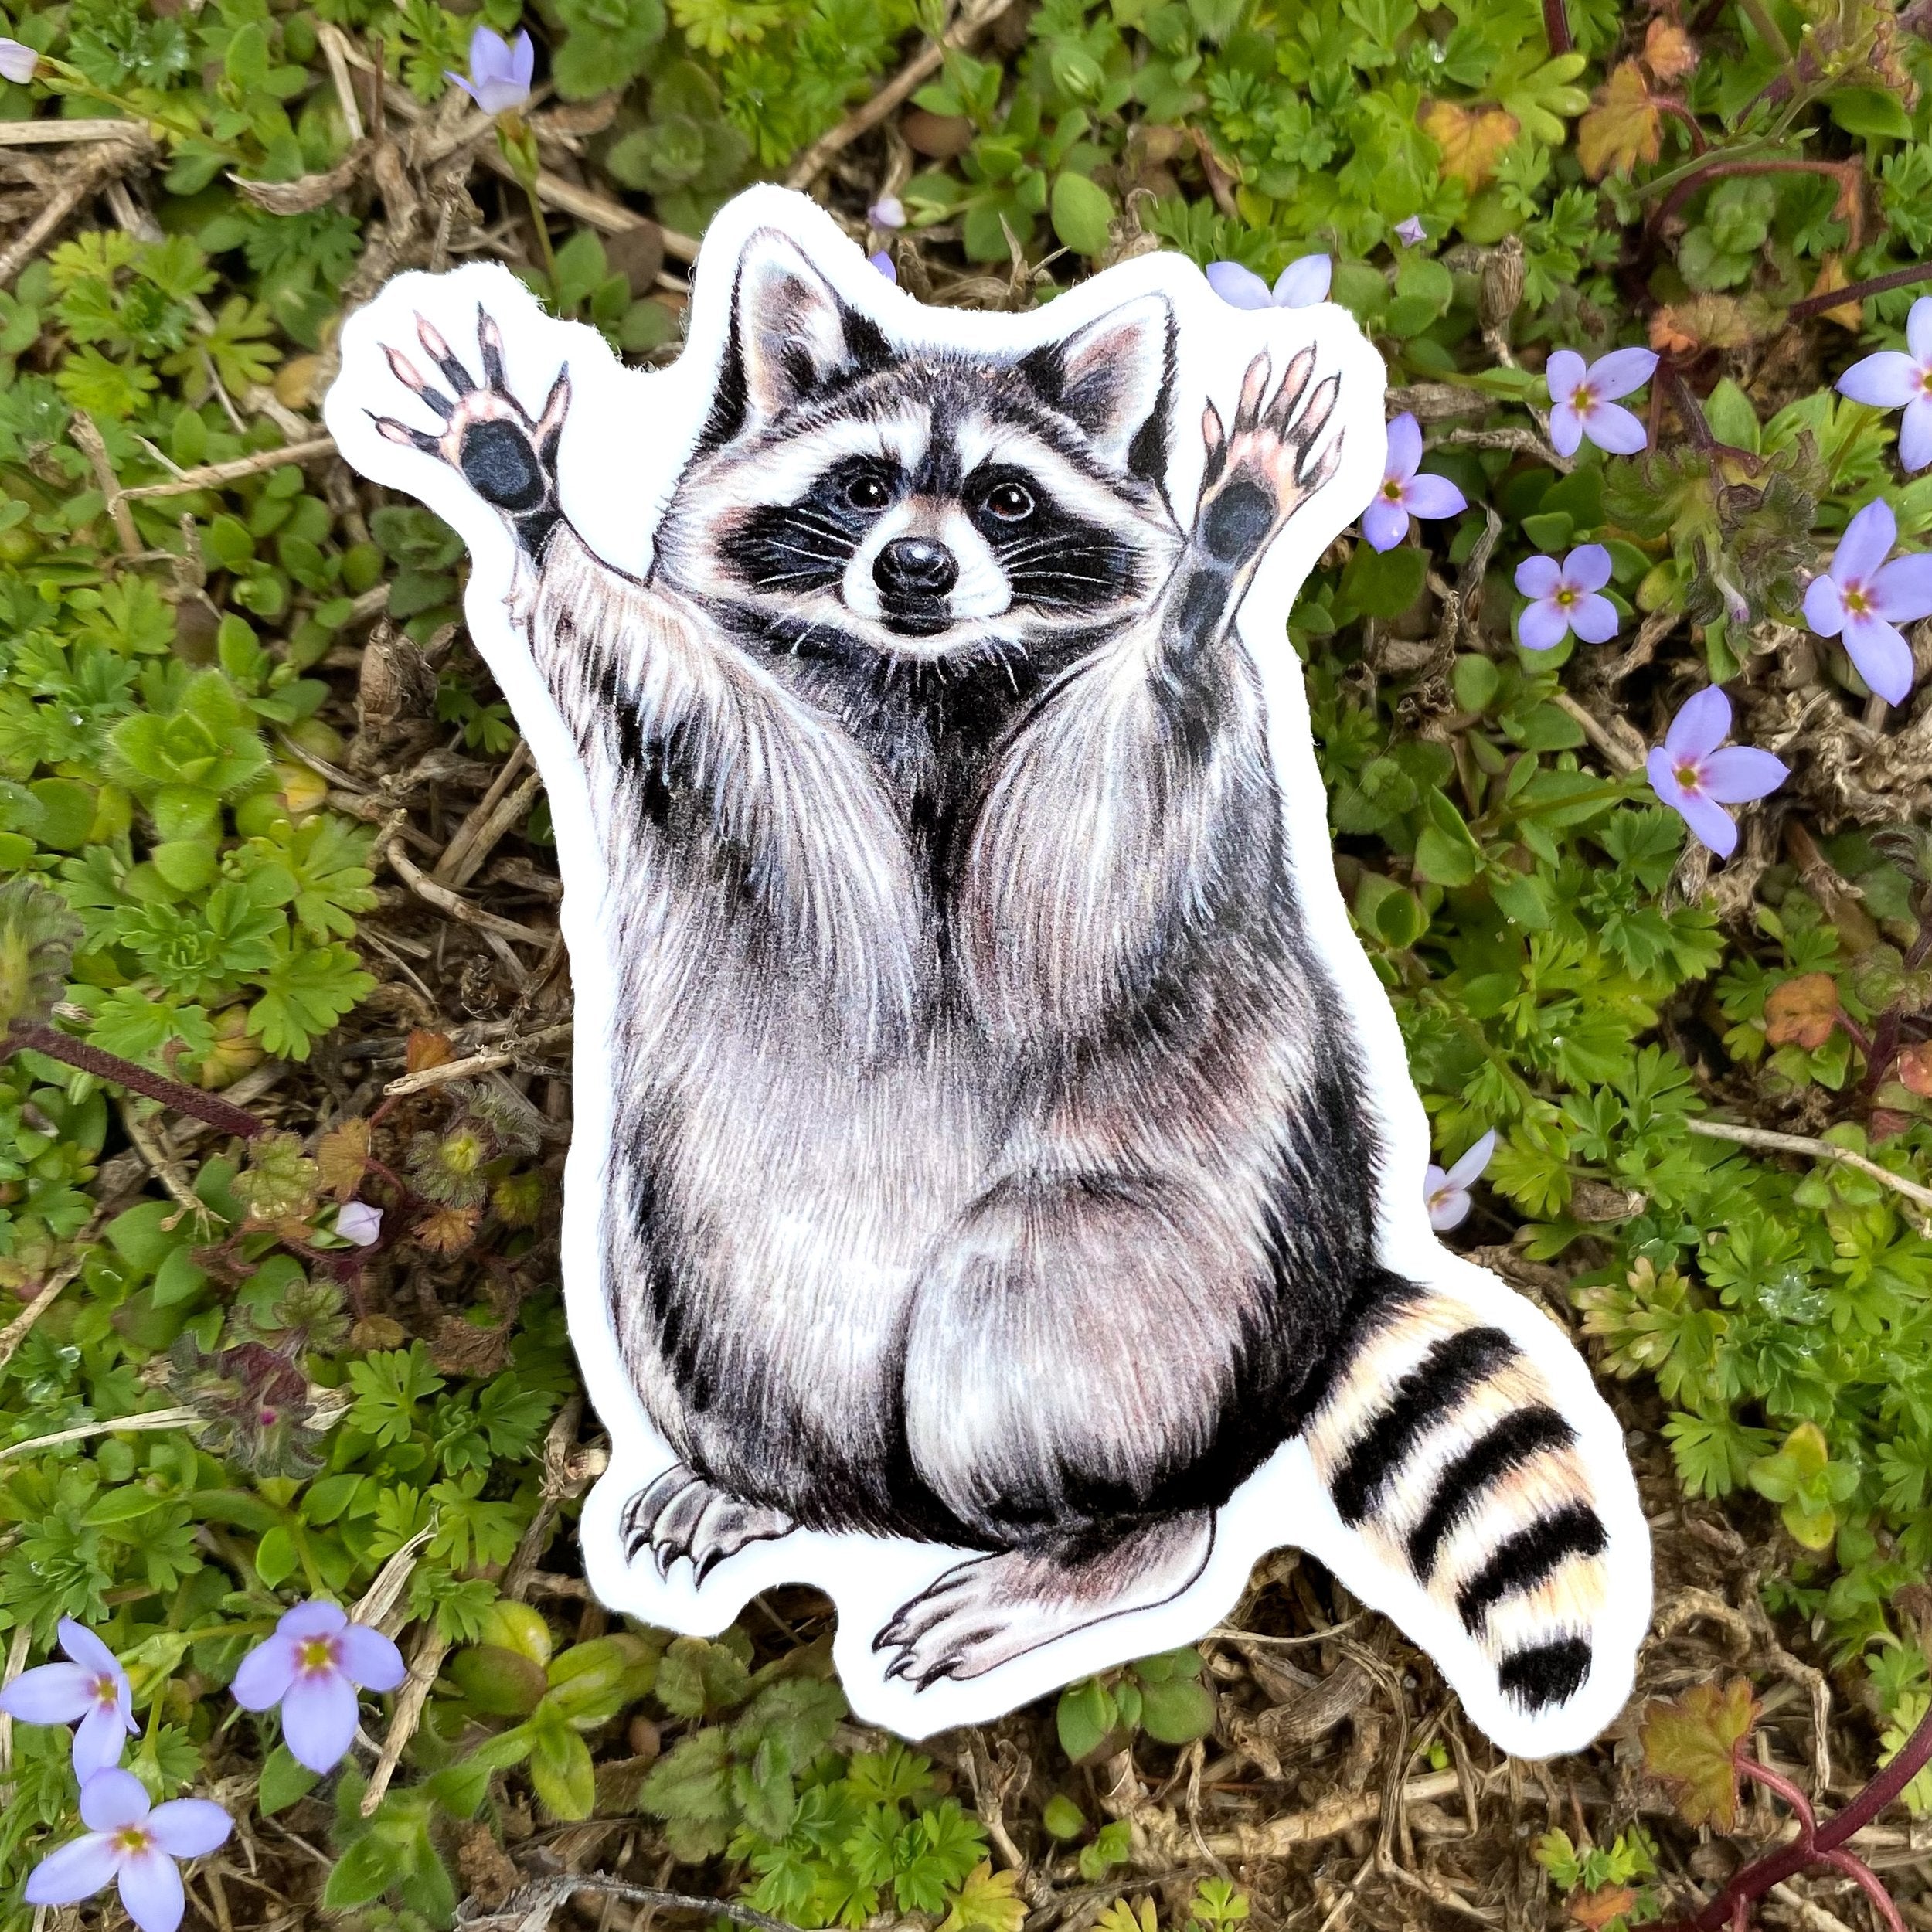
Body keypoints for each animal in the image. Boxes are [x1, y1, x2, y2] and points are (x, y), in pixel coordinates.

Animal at [364, 227, 1630, 1727]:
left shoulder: (1124, 827)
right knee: (706, 1297)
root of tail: (1306, 1321)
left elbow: (1075, 887)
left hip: (1170, 1274)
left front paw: (1211, 576)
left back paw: (1104, 1543)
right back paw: (768, 1485)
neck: (927, 674)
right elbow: (712, 732)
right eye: (861, 486)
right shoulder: (757, 758)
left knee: (1022, 1308)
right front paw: (526, 500)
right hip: (686, 1243)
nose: (914, 568)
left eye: (1008, 497)